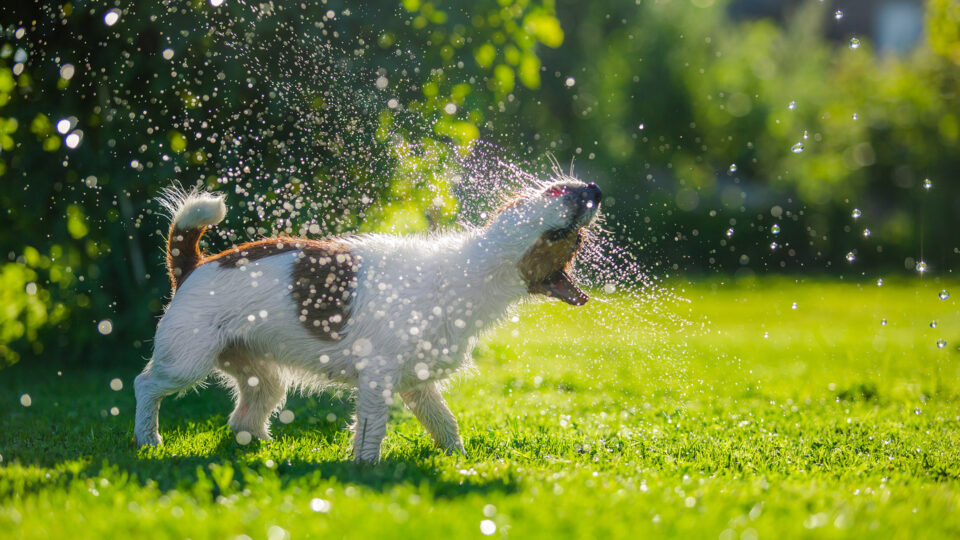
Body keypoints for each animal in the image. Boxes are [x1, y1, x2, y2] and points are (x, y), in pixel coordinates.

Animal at [133, 179, 600, 462]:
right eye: (563, 225)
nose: (593, 186)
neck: (467, 271)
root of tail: (194, 265)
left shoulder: (418, 382)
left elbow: (445, 422)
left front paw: (460, 459)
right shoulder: (379, 375)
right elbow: (372, 427)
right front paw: (367, 467)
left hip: (259, 373)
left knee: (245, 415)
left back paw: (265, 449)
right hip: (185, 361)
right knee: (145, 385)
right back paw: (147, 439)